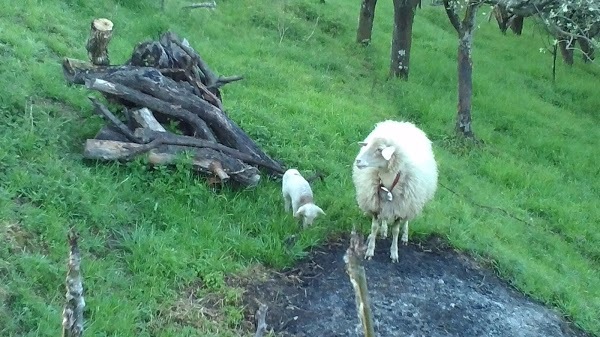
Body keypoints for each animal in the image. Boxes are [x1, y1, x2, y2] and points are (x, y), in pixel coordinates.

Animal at [352, 119, 436, 262]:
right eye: (367, 146)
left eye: (380, 149)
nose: (358, 160)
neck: (388, 181)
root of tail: (402, 123)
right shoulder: (376, 204)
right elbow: (374, 227)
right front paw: (370, 251)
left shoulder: (401, 208)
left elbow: (396, 231)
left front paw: (394, 253)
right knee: (384, 218)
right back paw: (384, 230)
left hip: (410, 203)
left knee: (406, 221)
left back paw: (405, 236)